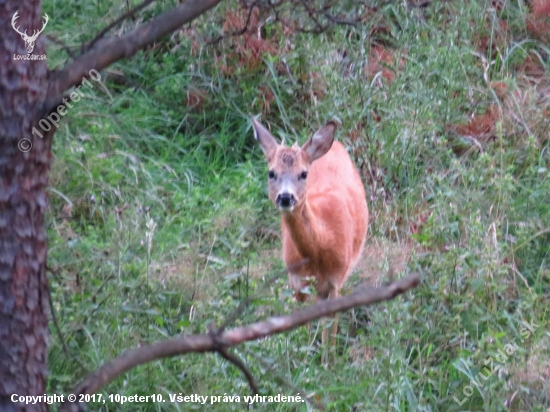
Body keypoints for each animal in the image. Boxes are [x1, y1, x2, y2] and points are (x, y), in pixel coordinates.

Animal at [254, 117, 370, 352]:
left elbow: (329, 335)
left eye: (303, 173)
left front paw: (327, 359)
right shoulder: (295, 280)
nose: (286, 197)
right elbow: (301, 326)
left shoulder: (335, 281)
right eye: (271, 173)